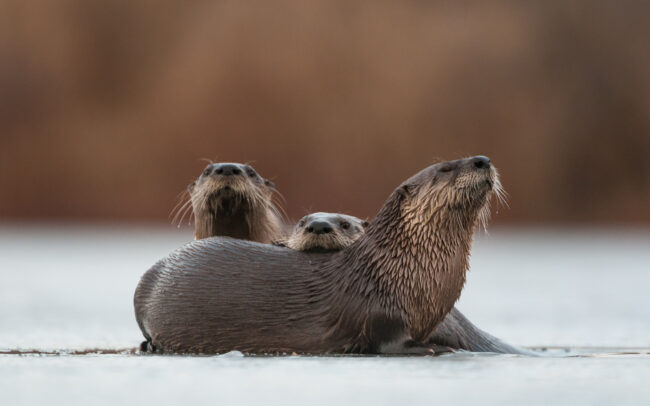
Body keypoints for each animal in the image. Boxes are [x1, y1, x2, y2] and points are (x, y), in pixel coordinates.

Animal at [134, 156, 499, 354]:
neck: (397, 266)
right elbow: (390, 341)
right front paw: (438, 348)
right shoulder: (382, 318)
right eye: (446, 168)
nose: (482, 160)